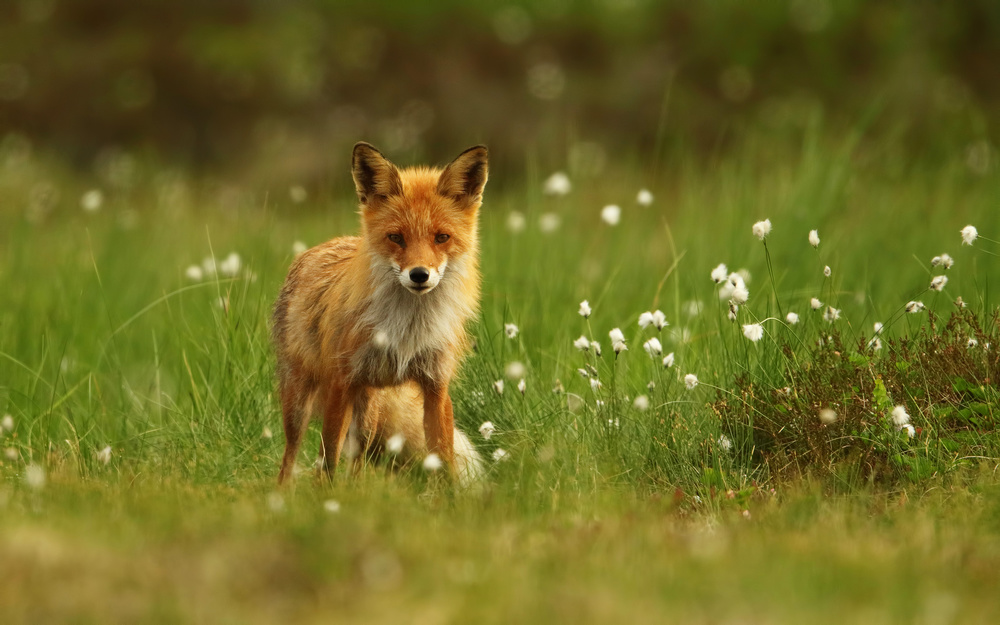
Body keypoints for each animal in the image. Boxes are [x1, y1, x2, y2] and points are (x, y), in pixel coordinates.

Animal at [272, 142, 488, 485]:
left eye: (441, 237)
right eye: (396, 237)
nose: (419, 275)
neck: (407, 329)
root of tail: (323, 245)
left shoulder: (435, 385)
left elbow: (444, 459)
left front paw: (450, 496)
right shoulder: (341, 382)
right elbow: (327, 461)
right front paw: (323, 496)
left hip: (369, 410)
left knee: (358, 461)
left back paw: (356, 491)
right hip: (300, 402)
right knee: (291, 456)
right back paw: (282, 493)